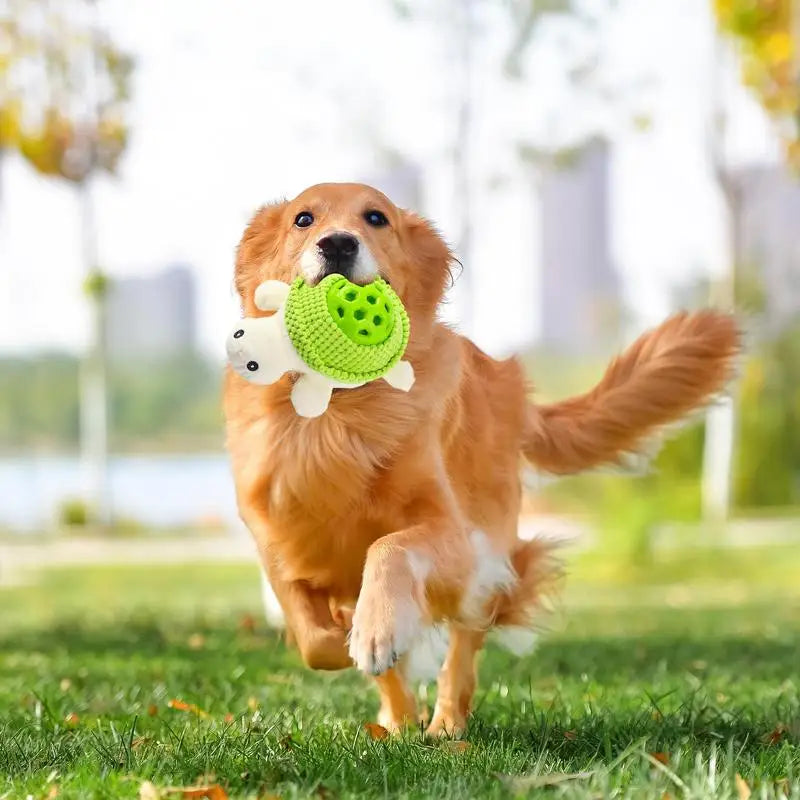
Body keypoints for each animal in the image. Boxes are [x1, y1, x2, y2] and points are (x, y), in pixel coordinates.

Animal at [222, 181, 740, 736]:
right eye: (304, 219)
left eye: (376, 217)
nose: (338, 243)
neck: (340, 406)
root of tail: (512, 390)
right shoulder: (277, 537)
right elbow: (310, 632)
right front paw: (352, 644)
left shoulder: (454, 538)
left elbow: (388, 548)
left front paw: (374, 632)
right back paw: (397, 721)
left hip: (484, 555)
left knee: (462, 650)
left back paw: (446, 725)